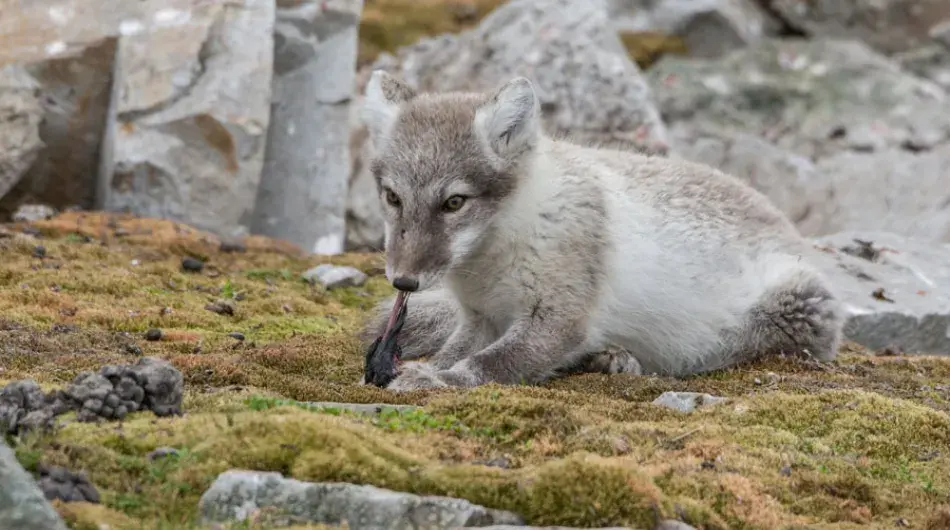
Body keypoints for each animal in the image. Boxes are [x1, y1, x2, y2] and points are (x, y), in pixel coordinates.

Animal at [358, 70, 844, 392]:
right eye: (393, 197)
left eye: (454, 202)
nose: (404, 282)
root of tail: (779, 215)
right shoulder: (479, 316)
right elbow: (455, 351)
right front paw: (426, 369)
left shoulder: (560, 319)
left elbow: (488, 364)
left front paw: (434, 380)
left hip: (799, 303)